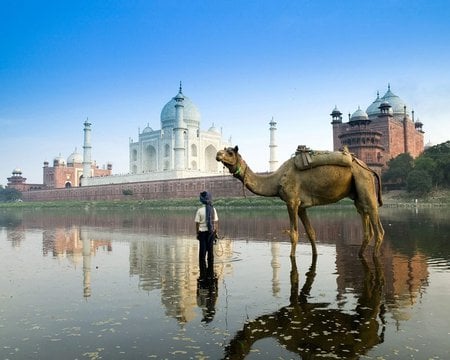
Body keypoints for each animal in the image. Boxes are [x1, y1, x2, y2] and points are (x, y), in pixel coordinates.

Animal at [216, 145, 384, 258]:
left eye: (230, 152)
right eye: (223, 150)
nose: (218, 154)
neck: (276, 180)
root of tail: (368, 168)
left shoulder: (291, 201)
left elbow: (294, 234)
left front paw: (292, 256)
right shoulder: (302, 206)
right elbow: (311, 233)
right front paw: (315, 255)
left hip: (365, 183)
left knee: (378, 227)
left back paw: (375, 256)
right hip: (357, 195)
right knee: (365, 222)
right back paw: (360, 254)